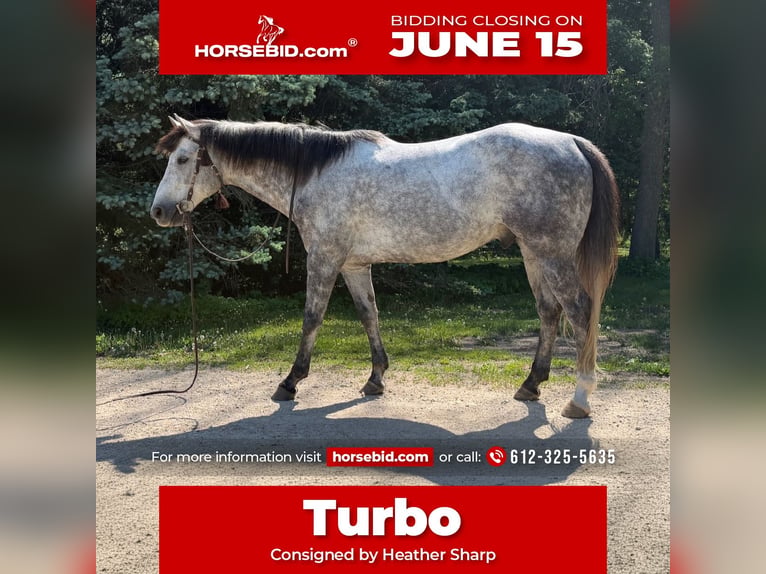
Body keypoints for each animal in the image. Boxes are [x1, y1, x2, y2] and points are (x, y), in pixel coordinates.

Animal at [151, 115, 619, 418]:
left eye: (181, 159)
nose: (159, 212)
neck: (314, 172)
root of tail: (572, 142)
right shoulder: (355, 264)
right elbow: (368, 314)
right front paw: (376, 378)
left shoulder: (325, 257)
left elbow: (312, 318)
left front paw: (290, 381)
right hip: (533, 253)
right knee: (549, 312)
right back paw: (531, 385)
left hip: (552, 253)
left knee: (579, 312)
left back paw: (579, 400)